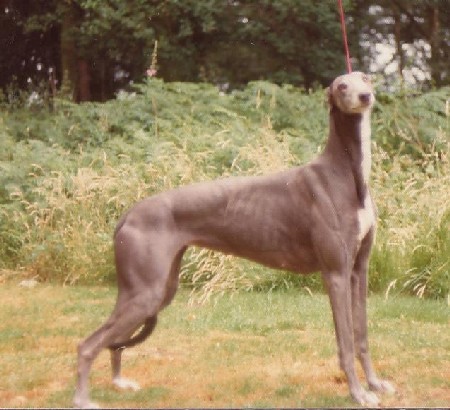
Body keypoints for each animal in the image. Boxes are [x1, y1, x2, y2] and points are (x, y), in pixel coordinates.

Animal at [73, 72, 394, 408]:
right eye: (342, 86)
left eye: (366, 78)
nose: (365, 97)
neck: (345, 173)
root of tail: (128, 214)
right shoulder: (335, 273)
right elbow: (345, 342)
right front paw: (358, 393)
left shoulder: (358, 270)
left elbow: (361, 336)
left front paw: (374, 383)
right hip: (145, 293)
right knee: (89, 344)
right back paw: (83, 398)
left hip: (157, 291)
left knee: (114, 341)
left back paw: (119, 382)